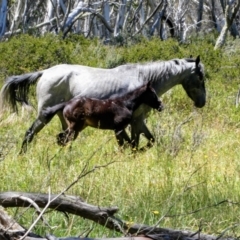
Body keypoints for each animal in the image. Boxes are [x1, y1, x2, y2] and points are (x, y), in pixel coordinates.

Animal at [0, 56, 206, 152]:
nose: (202, 102)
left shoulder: (138, 121)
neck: (143, 79)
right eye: (201, 77)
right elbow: (135, 143)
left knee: (64, 139)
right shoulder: (134, 121)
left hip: (67, 121)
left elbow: (146, 141)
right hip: (45, 114)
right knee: (30, 133)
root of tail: (44, 73)